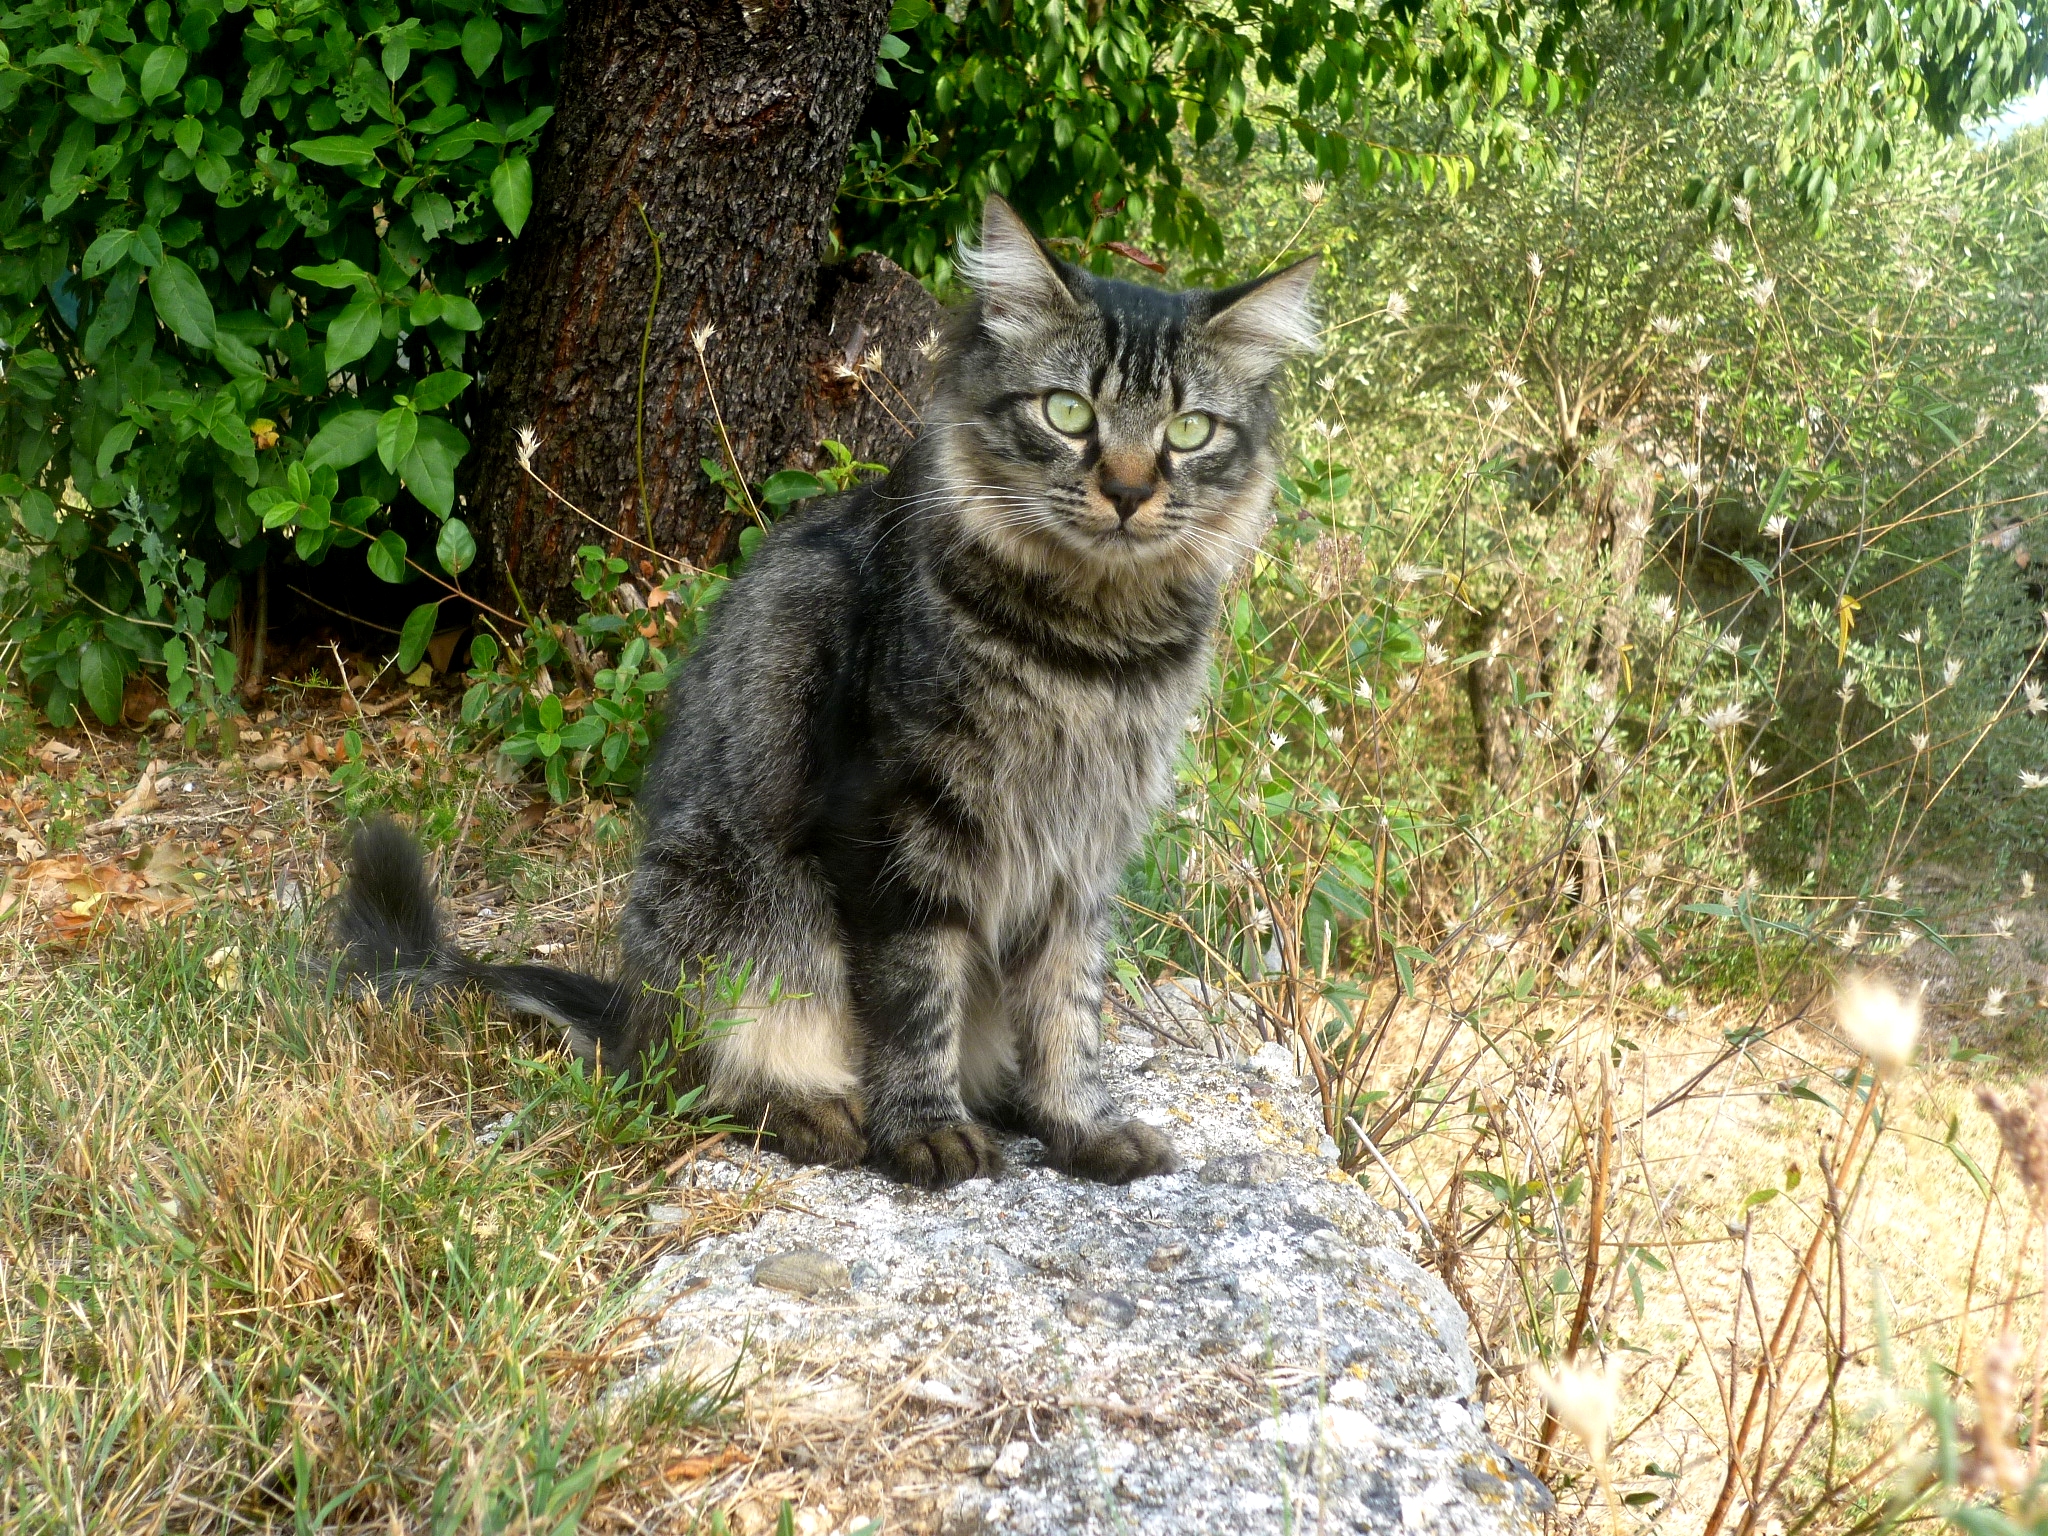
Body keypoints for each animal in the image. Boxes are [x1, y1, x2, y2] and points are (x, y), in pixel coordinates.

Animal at [339, 198, 1310, 1196]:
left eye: (1189, 431)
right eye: (1068, 412)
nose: (1124, 490)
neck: (1089, 652)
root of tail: (631, 1011)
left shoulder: (1080, 857)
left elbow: (1067, 1013)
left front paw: (1078, 1126)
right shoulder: (897, 826)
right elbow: (917, 1000)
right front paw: (926, 1131)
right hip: (752, 915)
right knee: (700, 1081)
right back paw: (819, 1112)